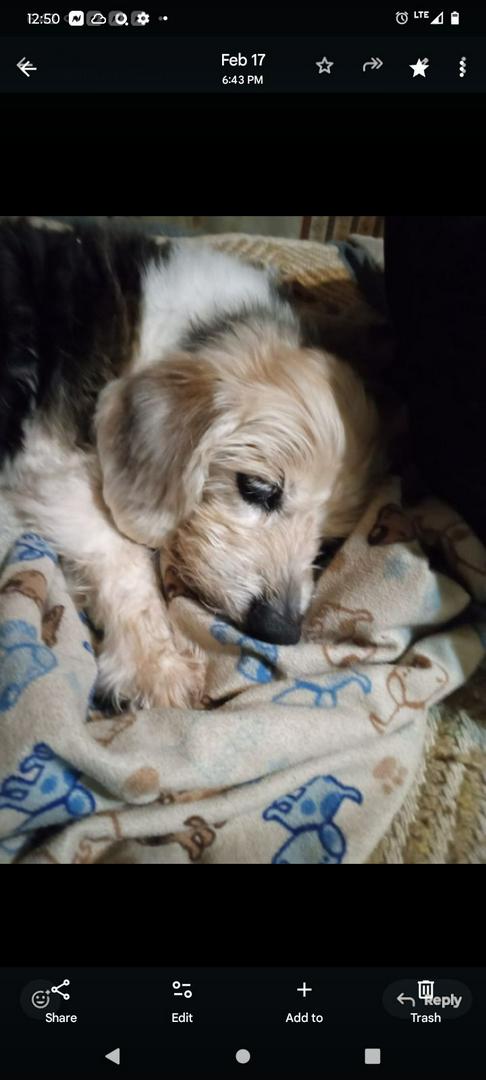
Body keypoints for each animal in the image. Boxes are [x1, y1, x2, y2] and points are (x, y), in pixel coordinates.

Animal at [0, 218, 383, 708]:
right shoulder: (47, 464)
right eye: (257, 488)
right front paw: (155, 665)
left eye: (329, 542)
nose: (277, 629)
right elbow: (120, 554)